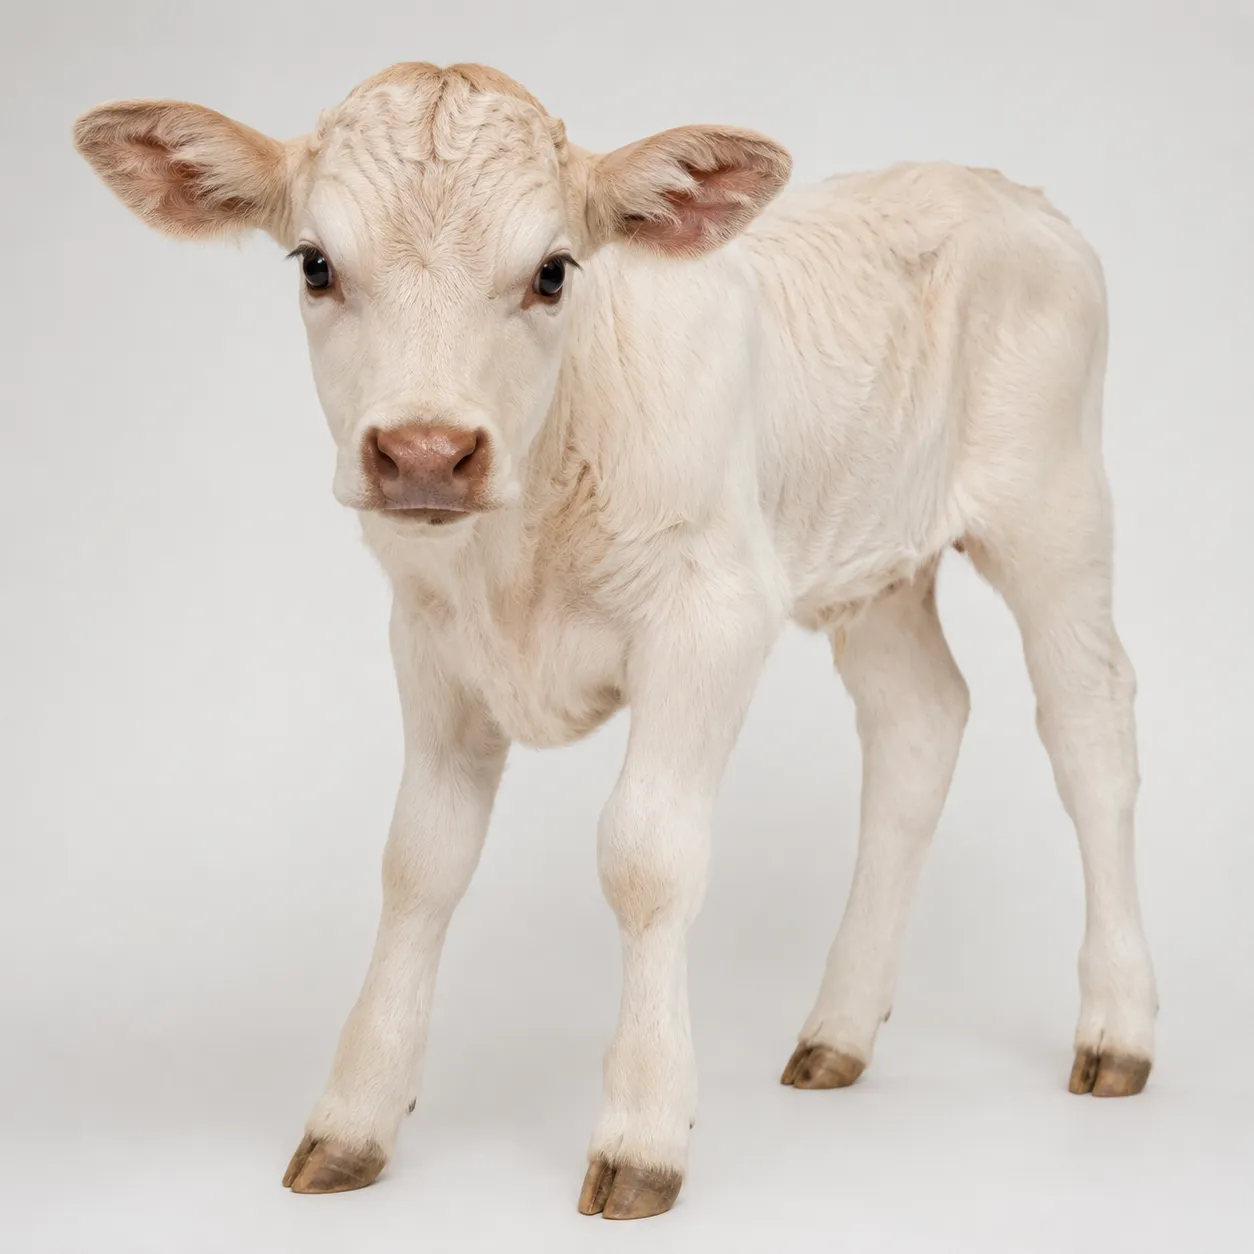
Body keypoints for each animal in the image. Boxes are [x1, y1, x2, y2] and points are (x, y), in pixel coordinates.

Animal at [72, 61, 1157, 1220]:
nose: (425, 452)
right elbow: (420, 860)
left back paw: (1118, 1028)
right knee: (919, 723)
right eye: (316, 264)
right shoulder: (428, 639)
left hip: (1055, 511)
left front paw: (642, 1133)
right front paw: (354, 1119)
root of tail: (996, 186)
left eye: (553, 272)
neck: (514, 550)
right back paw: (839, 1033)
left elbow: (645, 855)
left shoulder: (712, 613)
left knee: (1089, 727)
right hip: (871, 558)